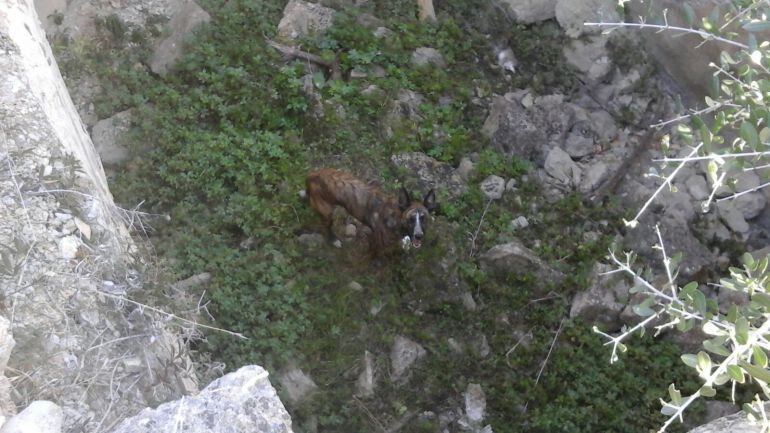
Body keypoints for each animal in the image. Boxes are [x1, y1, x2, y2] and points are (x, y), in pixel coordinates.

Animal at [304, 167, 436, 251]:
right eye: (411, 219)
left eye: (424, 218)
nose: (419, 236)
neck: (395, 216)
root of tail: (312, 175)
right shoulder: (376, 243)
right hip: (327, 213)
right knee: (326, 227)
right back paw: (333, 240)